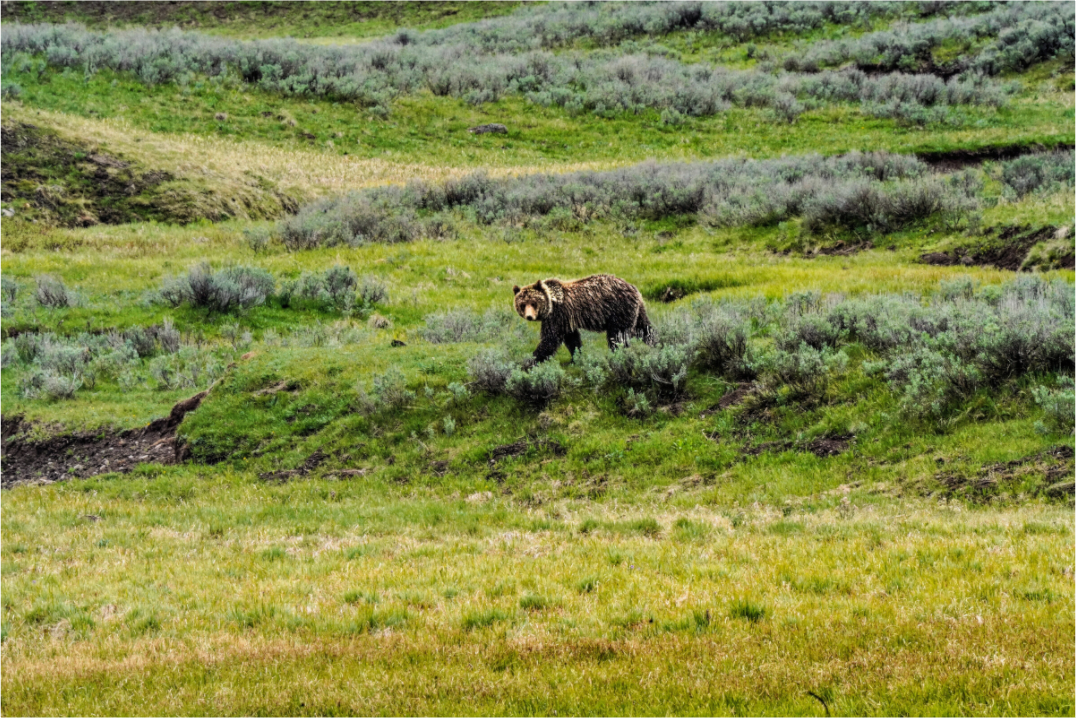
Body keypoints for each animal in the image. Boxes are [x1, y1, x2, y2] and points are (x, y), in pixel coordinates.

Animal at [512, 274, 655, 363]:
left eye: (533, 303)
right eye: (523, 304)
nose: (529, 316)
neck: (552, 303)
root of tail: (633, 288)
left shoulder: (558, 315)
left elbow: (550, 339)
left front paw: (530, 361)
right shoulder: (566, 320)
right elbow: (572, 339)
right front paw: (575, 358)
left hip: (619, 310)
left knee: (618, 336)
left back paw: (616, 355)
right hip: (636, 311)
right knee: (645, 329)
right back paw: (655, 345)